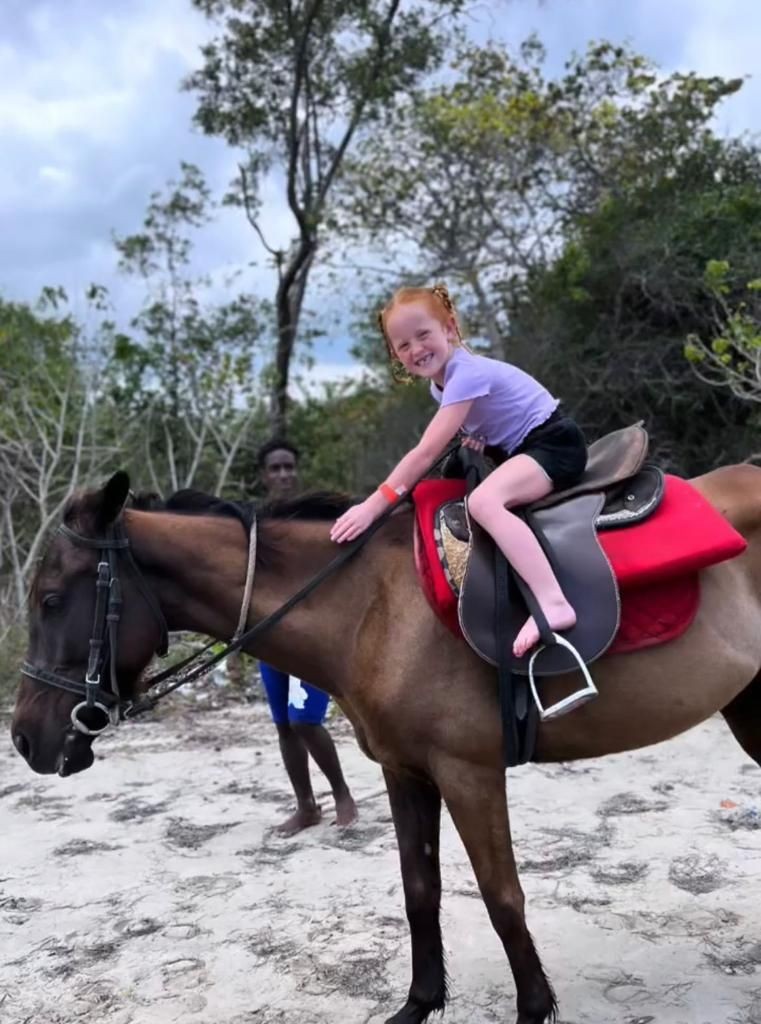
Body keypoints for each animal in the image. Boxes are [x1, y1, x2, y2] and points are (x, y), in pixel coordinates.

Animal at [8, 466, 761, 1024]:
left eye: (51, 599)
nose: (24, 737)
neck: (370, 605)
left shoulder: (468, 774)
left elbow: (502, 899)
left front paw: (531, 1007)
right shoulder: (407, 772)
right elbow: (418, 889)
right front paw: (419, 1003)